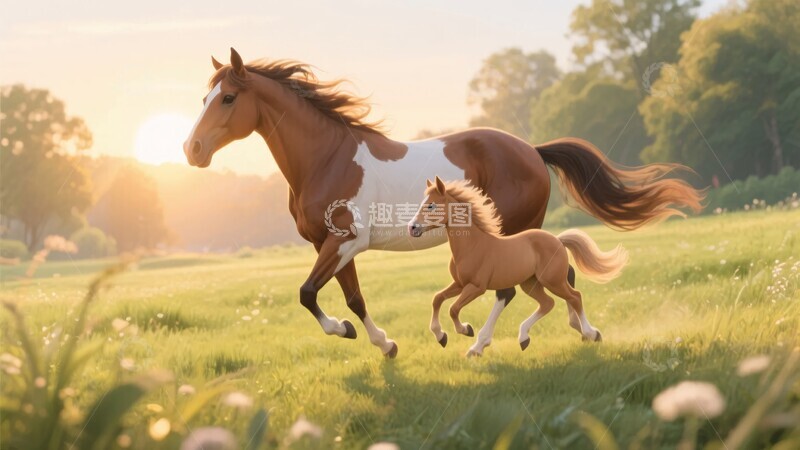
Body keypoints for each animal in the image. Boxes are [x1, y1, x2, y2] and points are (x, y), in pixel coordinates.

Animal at [409, 177, 628, 356]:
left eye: (430, 205)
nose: (412, 227)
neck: (473, 246)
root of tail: (557, 240)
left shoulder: (476, 287)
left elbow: (453, 309)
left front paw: (466, 330)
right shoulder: (459, 284)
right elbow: (437, 299)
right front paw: (441, 336)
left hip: (552, 280)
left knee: (575, 297)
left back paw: (592, 334)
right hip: (530, 284)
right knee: (548, 303)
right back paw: (524, 338)